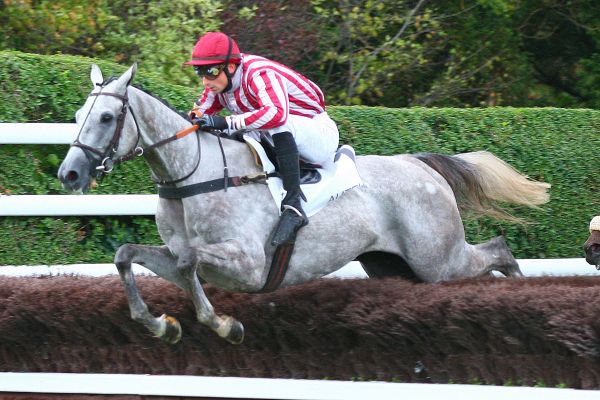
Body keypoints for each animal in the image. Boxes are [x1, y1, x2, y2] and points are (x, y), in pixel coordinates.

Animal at [58, 63, 552, 344]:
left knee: (498, 250)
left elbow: (188, 262)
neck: (194, 176)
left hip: (438, 259)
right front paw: (162, 325)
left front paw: (224, 325)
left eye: (107, 117)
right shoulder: (183, 256)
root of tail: (419, 164)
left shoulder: (248, 264)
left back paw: (522, 298)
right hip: (397, 267)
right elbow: (130, 255)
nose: (70, 174)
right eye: (78, 116)